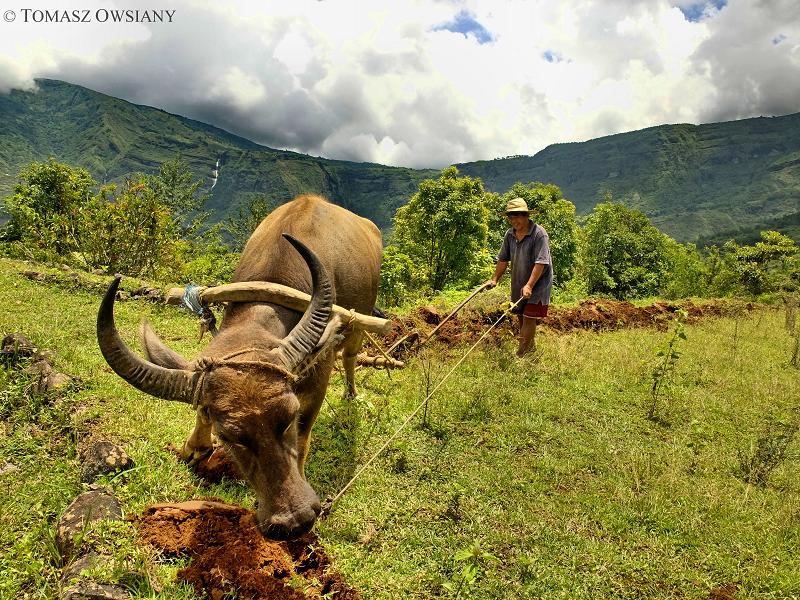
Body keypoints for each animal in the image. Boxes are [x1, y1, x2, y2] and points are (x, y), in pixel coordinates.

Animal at [95, 196, 382, 540]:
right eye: (229, 436)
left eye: (290, 416)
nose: (294, 520)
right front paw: (194, 446)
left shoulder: (318, 377)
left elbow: (303, 437)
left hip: (359, 324)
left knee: (350, 356)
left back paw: (351, 393)